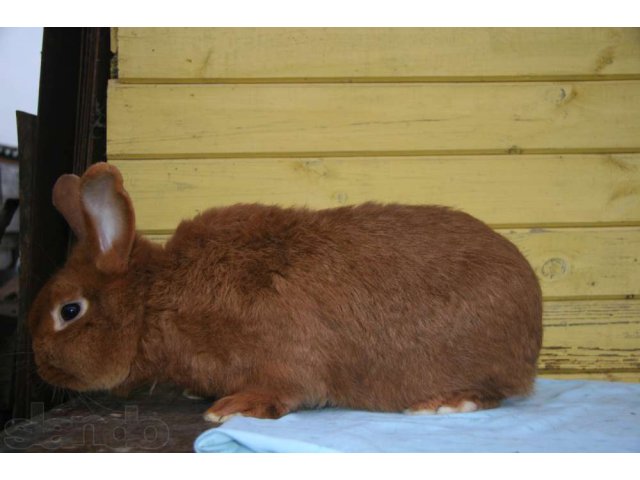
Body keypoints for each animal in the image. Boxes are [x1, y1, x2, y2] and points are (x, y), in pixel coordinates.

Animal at [27, 163, 544, 422]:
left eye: (69, 311)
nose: (41, 368)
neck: (156, 299)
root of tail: (534, 325)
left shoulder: (287, 358)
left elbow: (286, 390)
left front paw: (229, 409)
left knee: (494, 393)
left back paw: (444, 403)